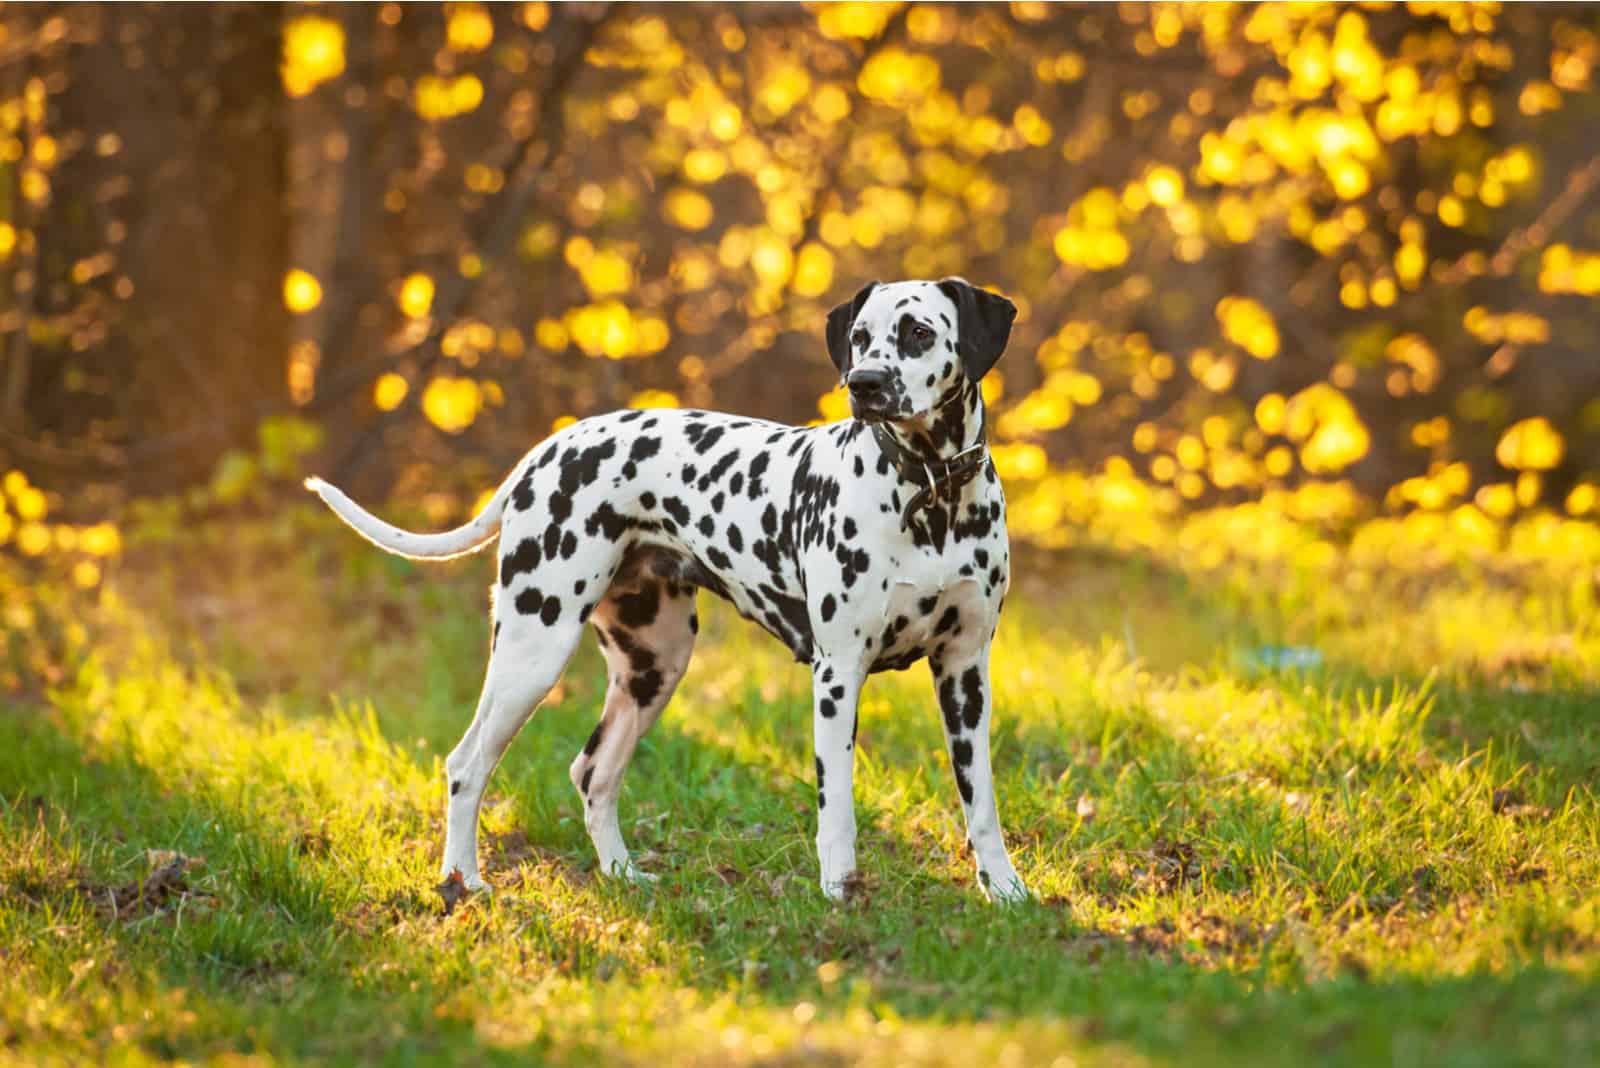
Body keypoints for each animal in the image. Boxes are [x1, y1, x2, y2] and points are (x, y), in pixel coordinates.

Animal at [305, 274, 1030, 901]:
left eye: (917, 332)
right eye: (860, 336)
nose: (865, 384)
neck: (931, 494)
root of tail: (546, 450)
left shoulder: (965, 673)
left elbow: (982, 802)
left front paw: (1004, 888)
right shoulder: (837, 673)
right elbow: (838, 805)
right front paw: (839, 890)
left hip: (653, 665)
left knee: (593, 772)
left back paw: (622, 874)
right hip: (532, 650)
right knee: (467, 763)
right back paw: (463, 880)